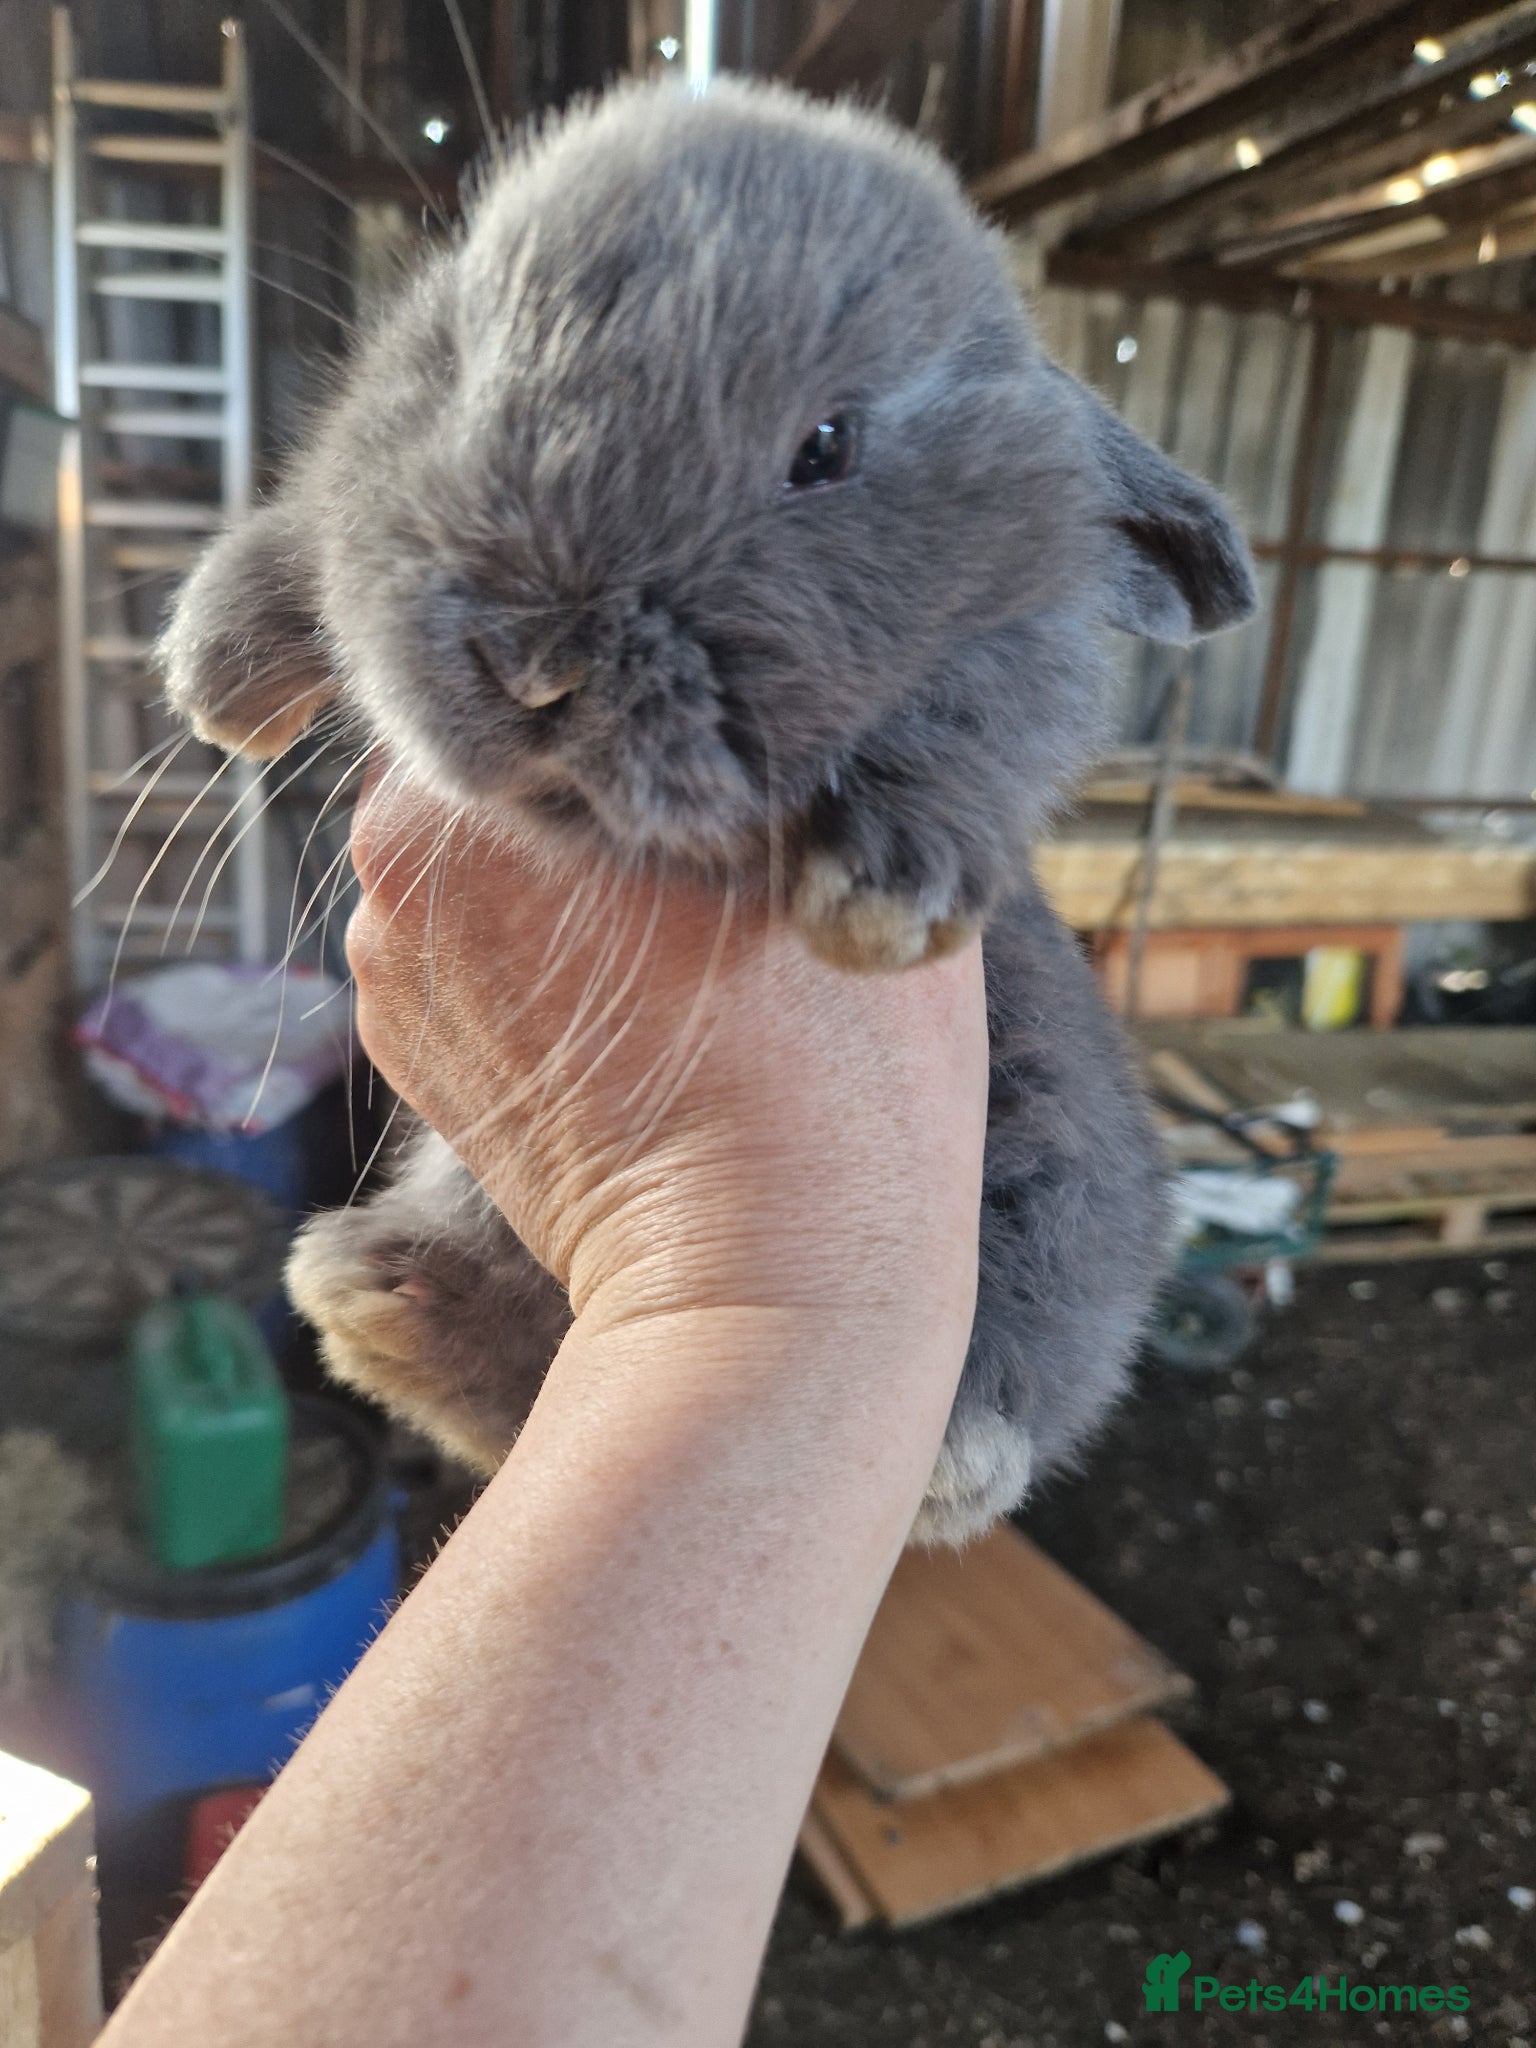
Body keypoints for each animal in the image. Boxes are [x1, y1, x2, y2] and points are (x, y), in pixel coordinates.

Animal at [160, 77, 1255, 1544]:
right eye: (456, 361)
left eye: (826, 446)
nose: (533, 663)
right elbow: (311, 533)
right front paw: (217, 677)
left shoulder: (1018, 672)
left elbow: (976, 735)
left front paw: (883, 899)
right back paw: (377, 1299)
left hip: (1051, 1181)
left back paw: (954, 1454)